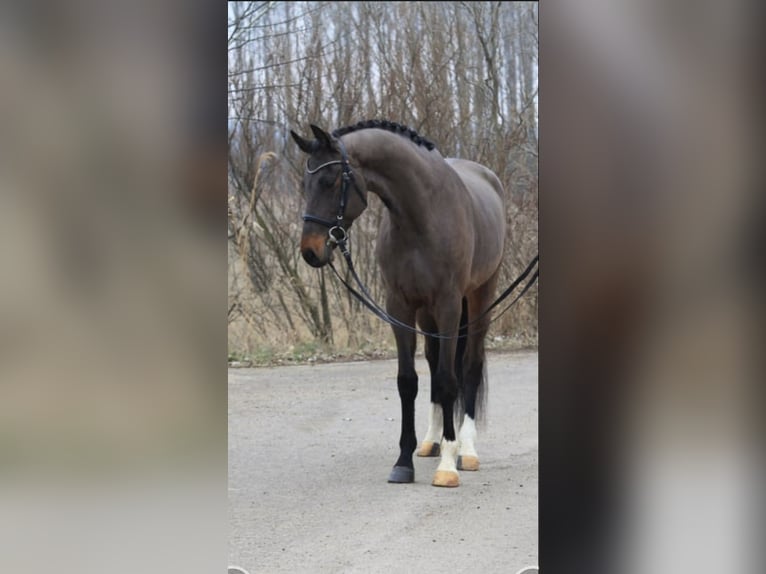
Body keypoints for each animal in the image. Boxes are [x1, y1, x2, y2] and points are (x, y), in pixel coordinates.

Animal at [292, 119, 508, 488]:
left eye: (330, 180)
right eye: (306, 183)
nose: (311, 251)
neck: (422, 217)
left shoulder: (449, 305)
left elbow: (450, 380)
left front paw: (448, 466)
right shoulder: (400, 307)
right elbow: (409, 381)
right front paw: (404, 461)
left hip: (479, 298)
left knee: (470, 365)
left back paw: (466, 449)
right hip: (427, 316)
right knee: (434, 365)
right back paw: (431, 441)